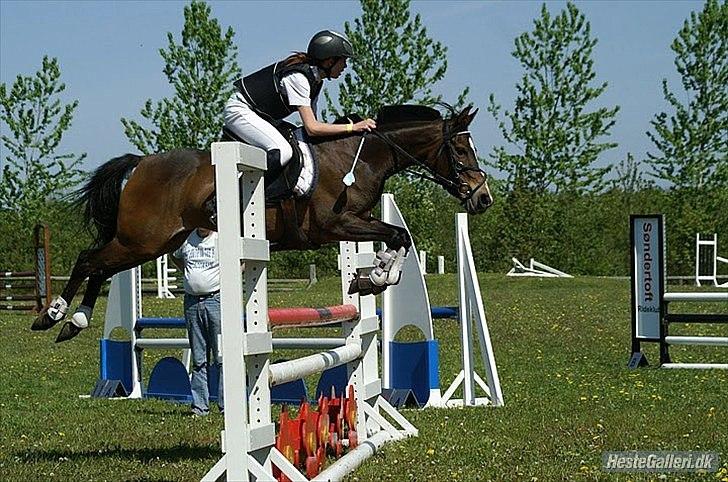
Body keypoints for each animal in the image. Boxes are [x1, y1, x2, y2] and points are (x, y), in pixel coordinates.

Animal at [31, 104, 493, 342]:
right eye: (460, 150)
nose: (483, 197)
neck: (357, 157)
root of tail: (142, 163)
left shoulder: (357, 221)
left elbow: (399, 238)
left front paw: (372, 278)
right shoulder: (335, 225)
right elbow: (400, 235)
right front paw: (376, 277)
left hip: (152, 243)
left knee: (101, 267)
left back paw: (74, 322)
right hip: (141, 239)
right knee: (89, 259)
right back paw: (52, 315)